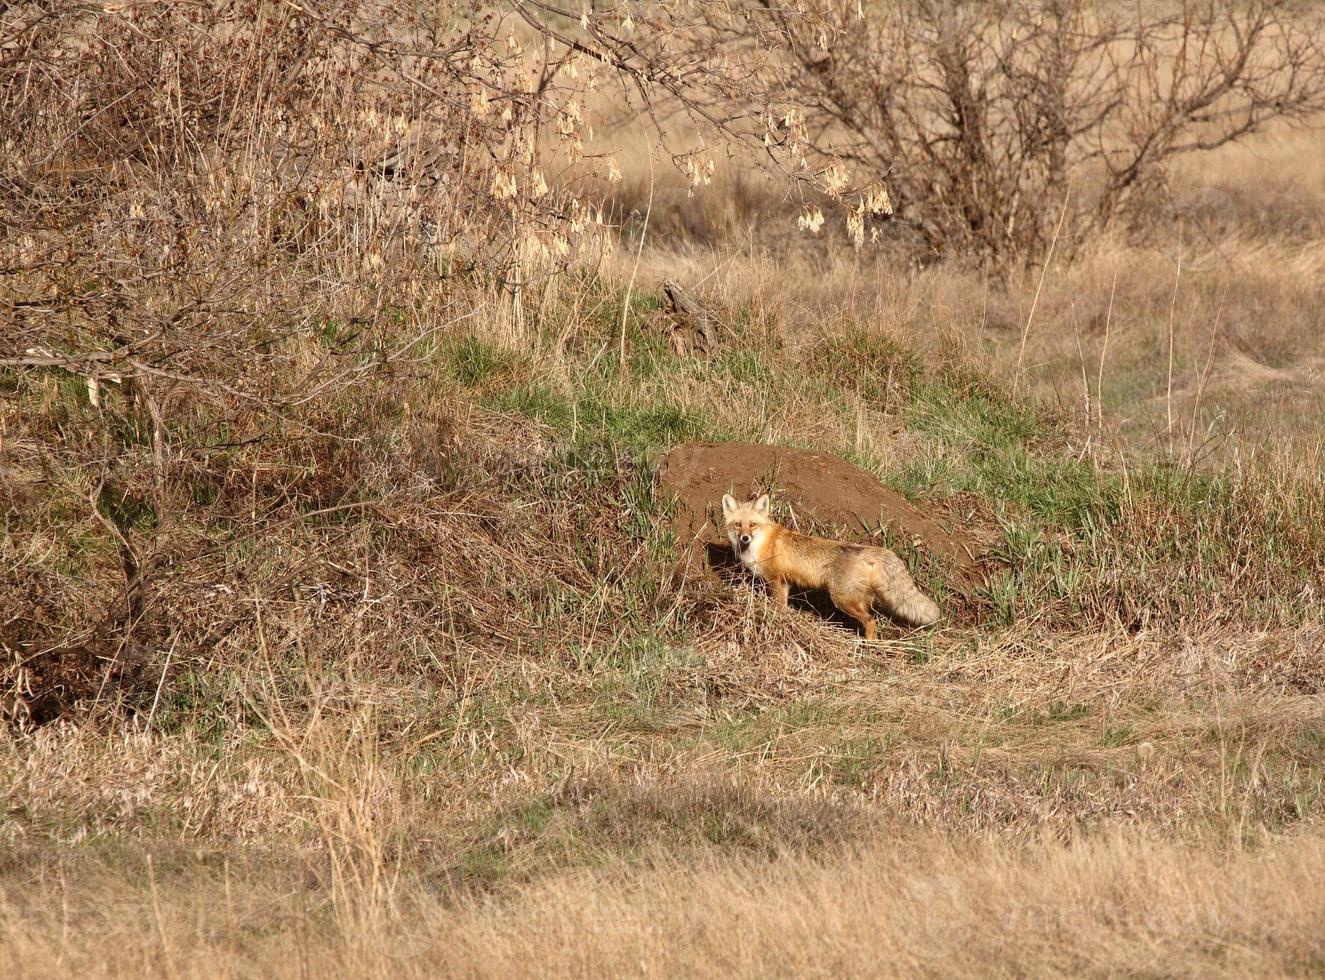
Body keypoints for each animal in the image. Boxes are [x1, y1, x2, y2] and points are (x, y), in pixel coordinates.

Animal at [726, 492, 943, 638]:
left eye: (752, 525)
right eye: (737, 525)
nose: (744, 538)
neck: (761, 543)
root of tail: (870, 550)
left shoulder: (776, 580)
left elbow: (778, 607)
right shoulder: (785, 583)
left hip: (842, 599)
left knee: (870, 621)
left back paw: (869, 646)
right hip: (857, 599)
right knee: (870, 617)